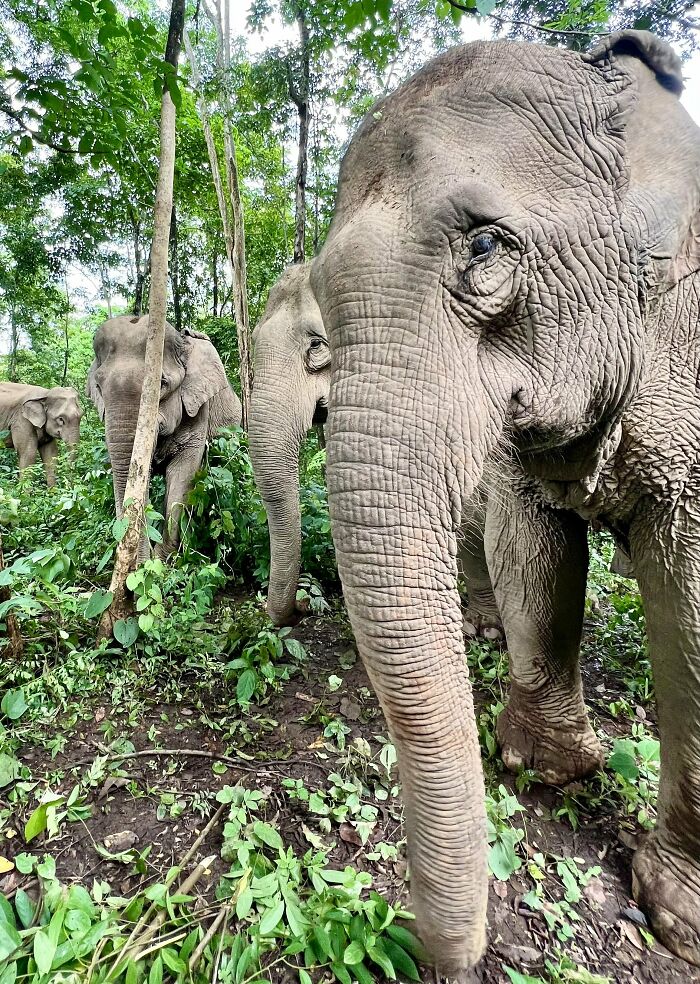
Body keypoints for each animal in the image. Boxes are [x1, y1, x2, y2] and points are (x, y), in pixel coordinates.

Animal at [87, 315, 242, 559]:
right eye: (99, 387)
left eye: (162, 383)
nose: (139, 562)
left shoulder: (198, 409)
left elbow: (181, 475)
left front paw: (164, 559)